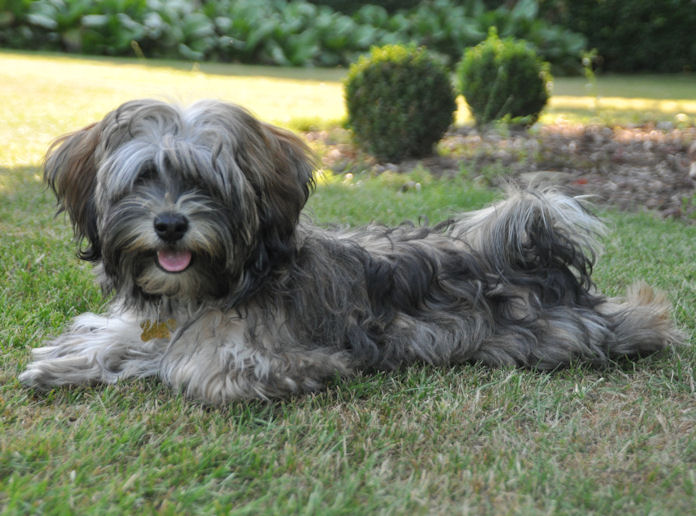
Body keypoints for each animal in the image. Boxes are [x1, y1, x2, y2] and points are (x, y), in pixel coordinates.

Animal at [19, 98, 684, 404]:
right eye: (144, 177)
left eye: (206, 183)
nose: (169, 224)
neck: (218, 283)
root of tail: (535, 256)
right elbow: (114, 336)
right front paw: (66, 362)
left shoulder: (259, 358)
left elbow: (189, 369)